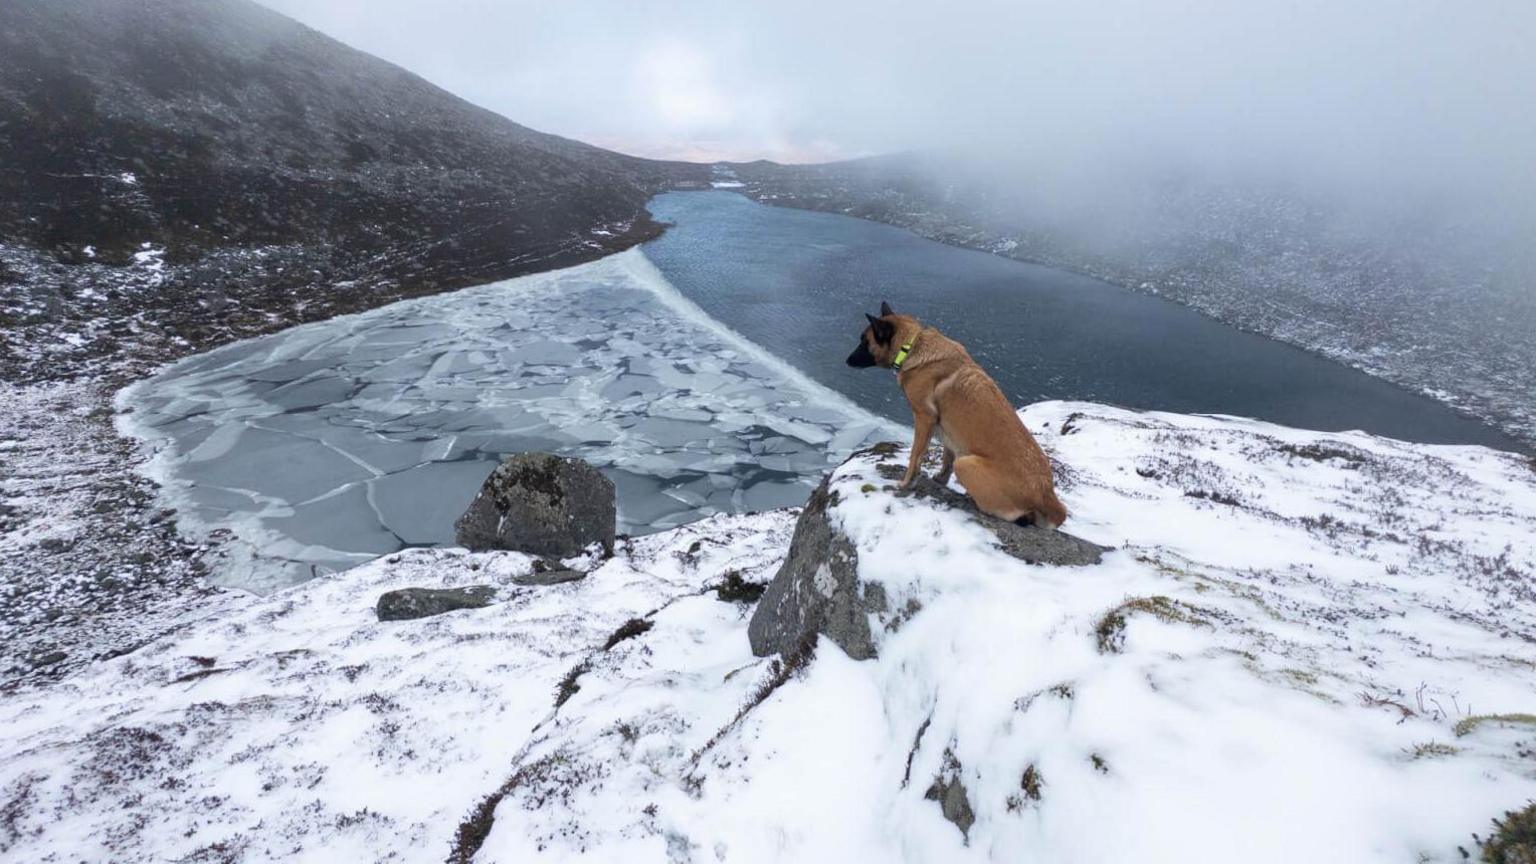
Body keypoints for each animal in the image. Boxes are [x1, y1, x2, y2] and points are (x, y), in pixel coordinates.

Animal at [841, 302, 1069, 528]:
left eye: (865, 341)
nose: (847, 361)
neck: (911, 346)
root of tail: (1046, 494)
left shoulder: (924, 418)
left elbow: (916, 456)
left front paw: (906, 483)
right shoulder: (946, 430)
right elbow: (947, 457)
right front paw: (940, 479)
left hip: (966, 463)